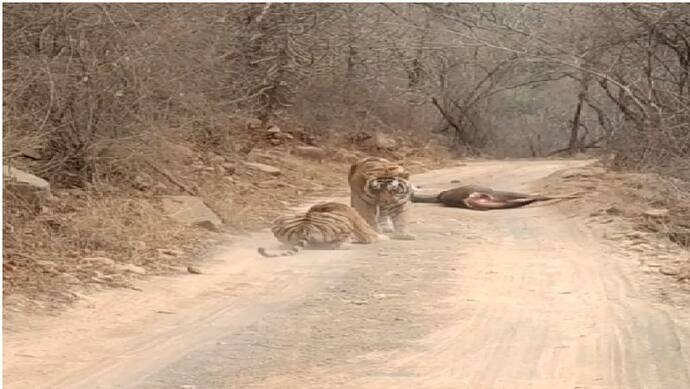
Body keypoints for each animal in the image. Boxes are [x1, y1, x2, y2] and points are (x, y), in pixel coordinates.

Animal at [256, 200, 384, 258]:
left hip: (277, 221)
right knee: (334, 245)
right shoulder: (365, 230)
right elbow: (375, 235)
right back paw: (347, 246)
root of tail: (305, 226)